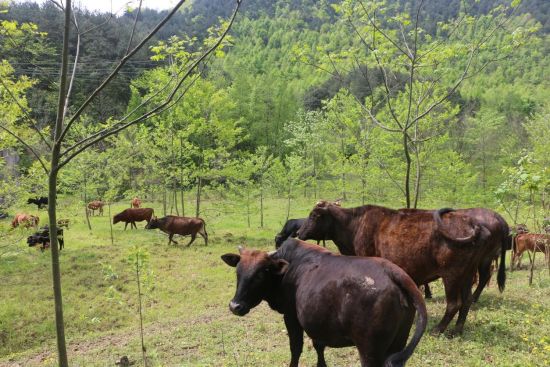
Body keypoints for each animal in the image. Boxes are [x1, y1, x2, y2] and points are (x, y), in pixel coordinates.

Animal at [222, 239, 430, 367]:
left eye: (261, 274)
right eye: (238, 272)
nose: (235, 306)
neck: (289, 270)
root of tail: (393, 271)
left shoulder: (291, 317)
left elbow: (295, 348)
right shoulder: (318, 320)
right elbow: (318, 346)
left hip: (370, 350)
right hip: (397, 343)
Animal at [300, 203, 512, 338]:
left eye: (314, 216)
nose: (299, 232)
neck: (355, 224)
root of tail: (476, 224)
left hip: (452, 275)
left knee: (455, 303)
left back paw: (438, 329)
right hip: (467, 274)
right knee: (466, 301)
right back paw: (456, 330)